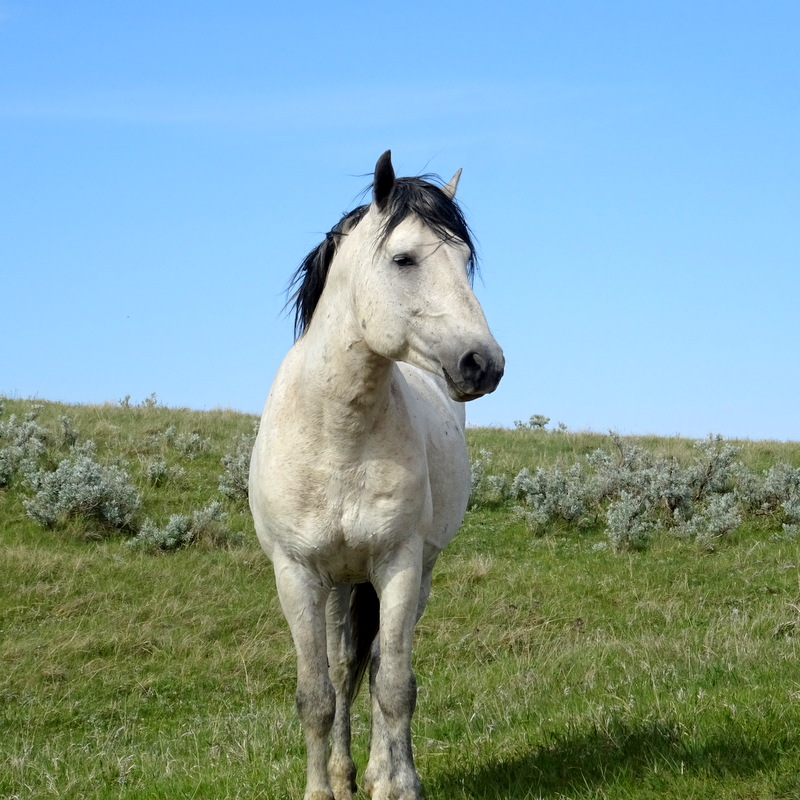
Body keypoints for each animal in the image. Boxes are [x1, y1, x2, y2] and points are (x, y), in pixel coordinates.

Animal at [250, 152, 504, 800]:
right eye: (404, 259)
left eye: (465, 260)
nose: (483, 364)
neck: (339, 434)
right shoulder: (296, 574)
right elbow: (316, 696)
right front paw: (321, 790)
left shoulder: (399, 564)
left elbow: (395, 686)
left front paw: (400, 784)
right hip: (339, 583)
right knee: (344, 670)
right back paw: (345, 777)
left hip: (413, 576)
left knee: (381, 669)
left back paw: (380, 772)